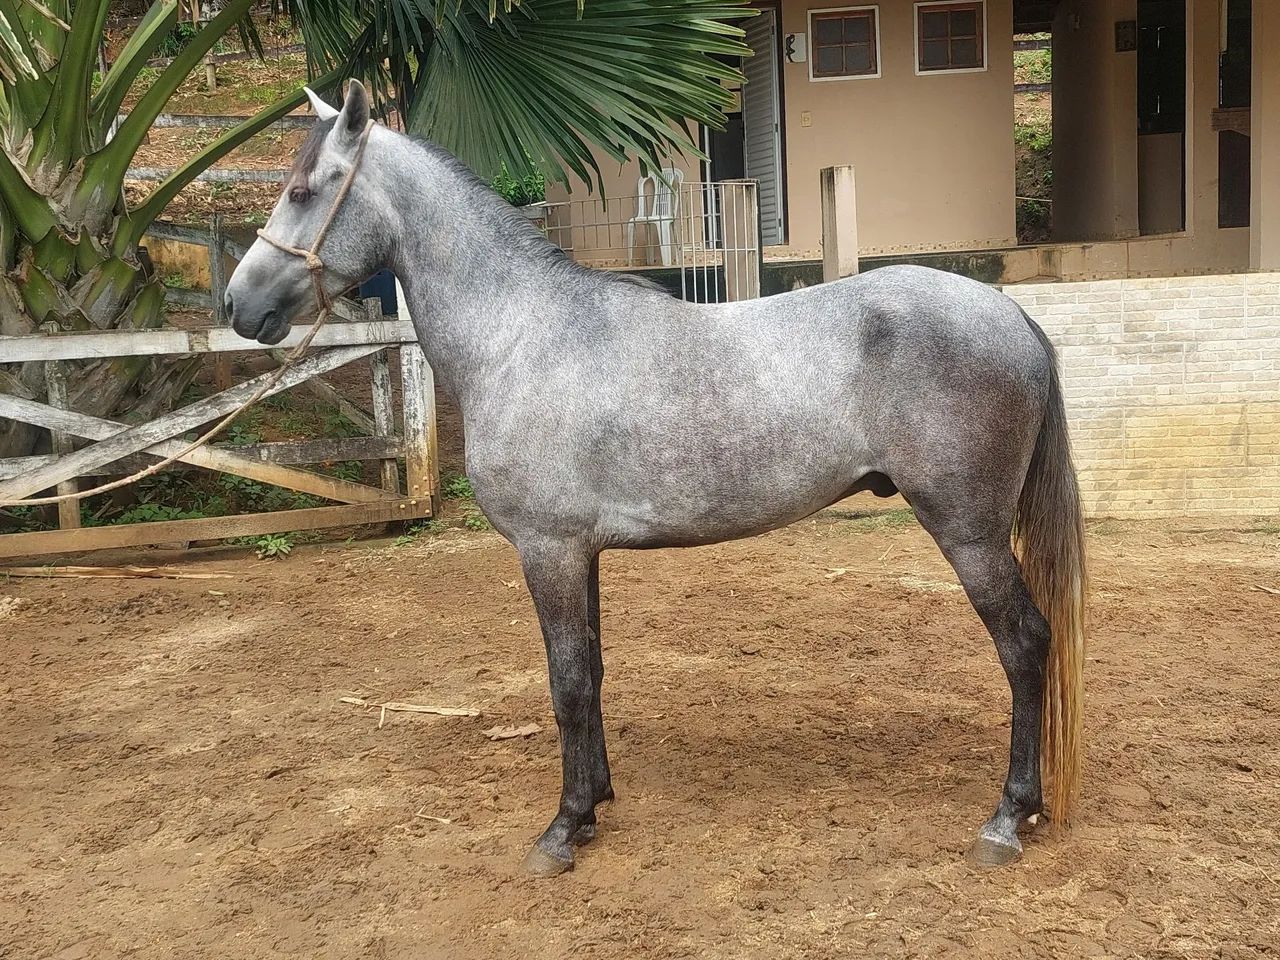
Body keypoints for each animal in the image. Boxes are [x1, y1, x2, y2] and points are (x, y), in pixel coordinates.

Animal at [225, 80, 1087, 878]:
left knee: (1024, 642)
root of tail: (1010, 314)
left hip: (968, 534)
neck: (523, 333)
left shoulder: (549, 551)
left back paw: (1007, 817)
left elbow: (568, 683)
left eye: (303, 189)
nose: (237, 303)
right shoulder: (581, 554)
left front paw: (563, 828)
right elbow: (592, 672)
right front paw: (596, 802)